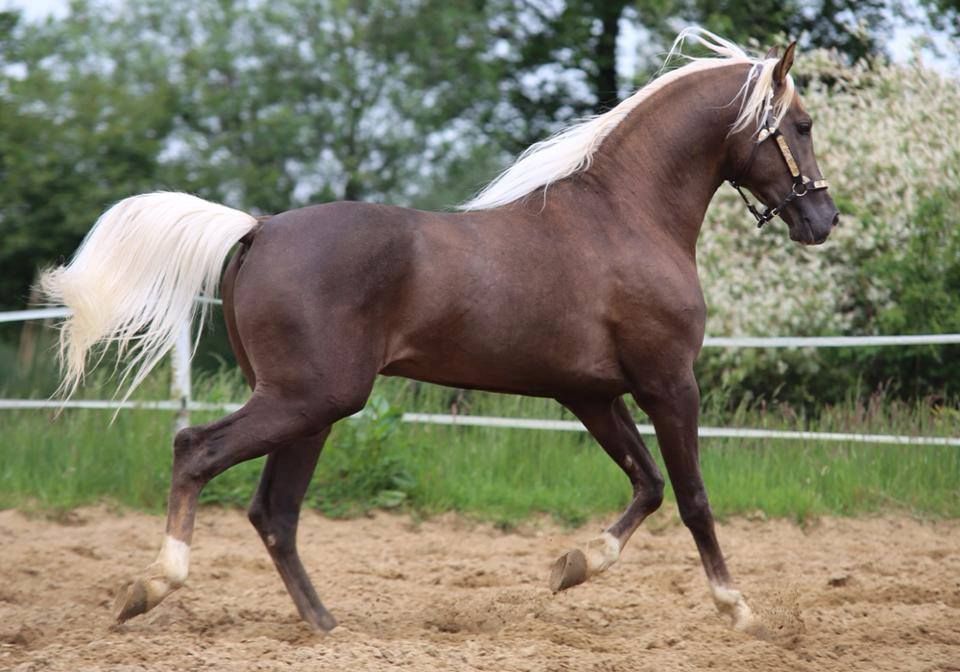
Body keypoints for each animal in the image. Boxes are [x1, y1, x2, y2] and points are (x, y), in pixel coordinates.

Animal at [43, 27, 840, 636]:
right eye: (801, 126)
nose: (823, 220)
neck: (624, 216)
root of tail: (259, 227)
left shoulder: (590, 394)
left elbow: (646, 486)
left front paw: (571, 567)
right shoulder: (669, 383)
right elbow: (693, 495)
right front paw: (739, 611)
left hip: (310, 408)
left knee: (275, 511)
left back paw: (325, 626)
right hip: (309, 399)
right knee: (197, 451)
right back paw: (151, 589)